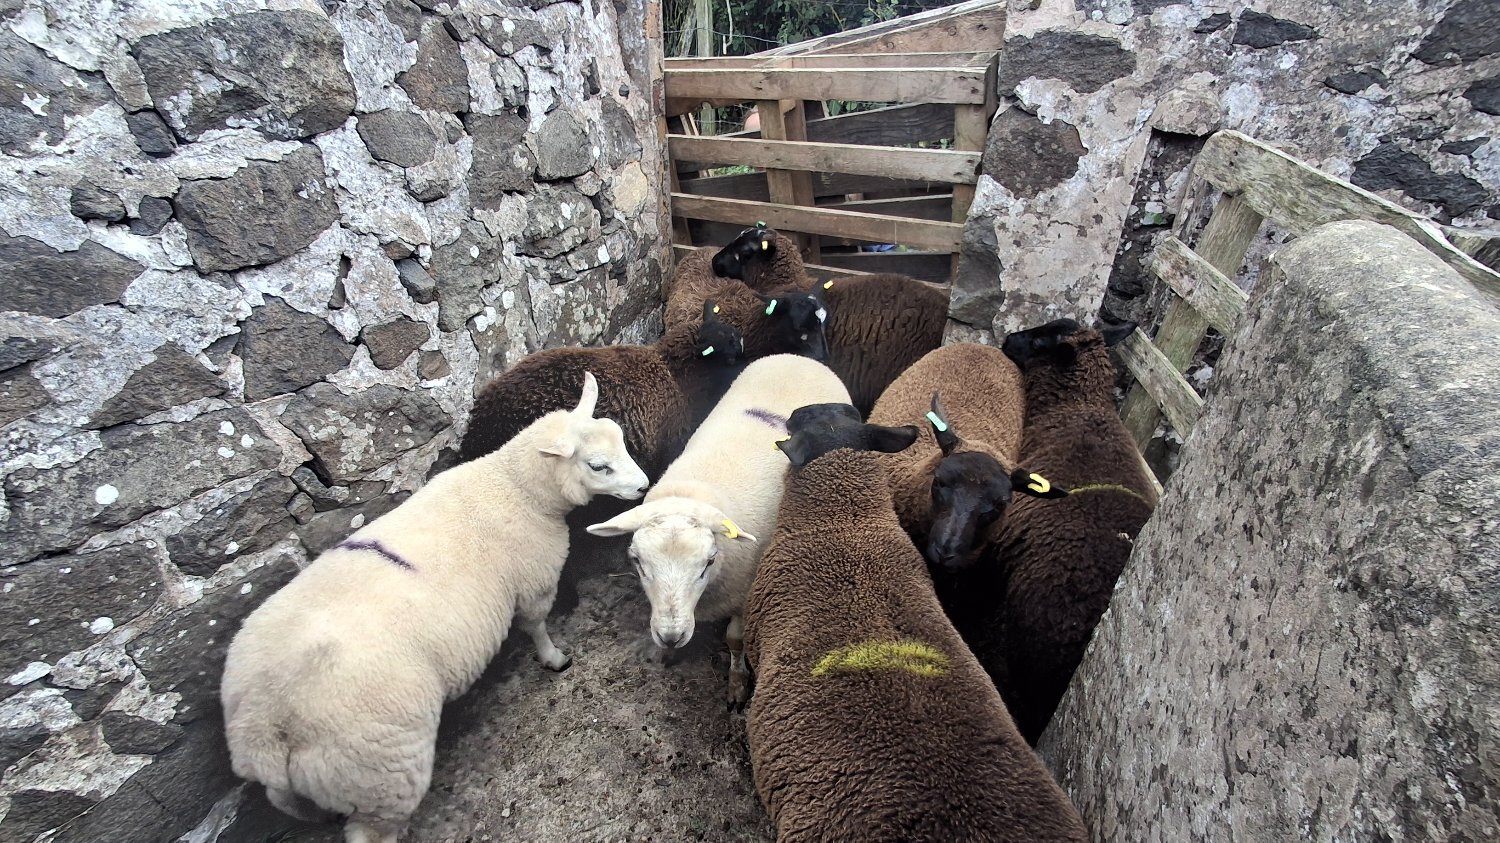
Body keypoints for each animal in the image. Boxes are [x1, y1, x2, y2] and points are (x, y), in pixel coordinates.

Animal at [221, 373, 650, 843]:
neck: (512, 486)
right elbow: (536, 624)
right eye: (598, 466)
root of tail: (266, 725)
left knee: (292, 803)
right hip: (382, 769)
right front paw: (554, 658)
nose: (644, 486)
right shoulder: (534, 580)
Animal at [586, 354, 850, 706]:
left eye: (709, 562)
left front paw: (737, 682)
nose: (671, 637)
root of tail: (798, 358)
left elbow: (736, 640)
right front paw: (668, 653)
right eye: (637, 562)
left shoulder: (745, 592)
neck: (691, 494)